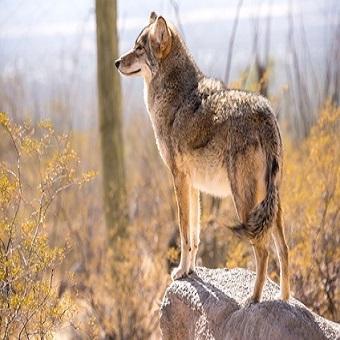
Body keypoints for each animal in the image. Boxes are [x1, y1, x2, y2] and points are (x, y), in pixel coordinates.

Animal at [115, 11, 290, 304]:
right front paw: (190, 271)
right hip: (270, 203)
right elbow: (195, 236)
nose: (116, 62)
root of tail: (265, 112)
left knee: (264, 250)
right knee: (284, 250)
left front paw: (181, 271)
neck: (173, 94)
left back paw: (253, 300)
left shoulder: (178, 179)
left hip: (244, 202)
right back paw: (285, 300)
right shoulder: (193, 185)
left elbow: (184, 233)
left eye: (139, 48)